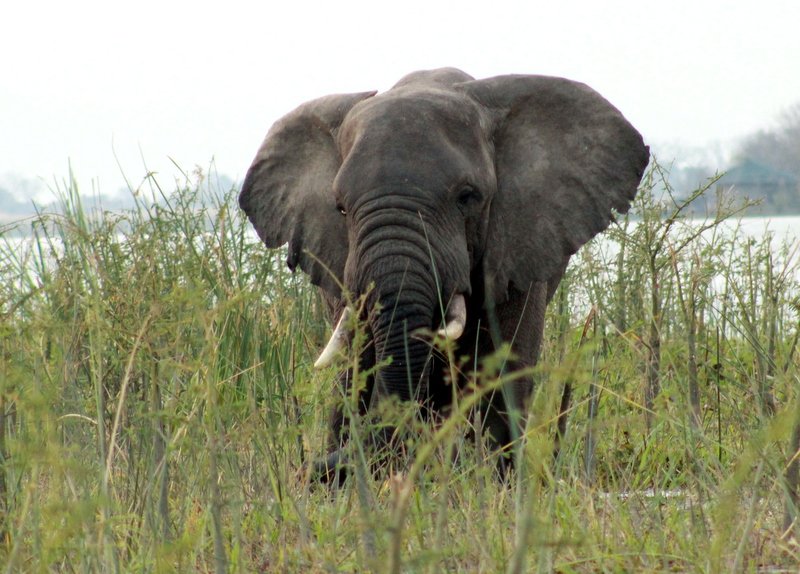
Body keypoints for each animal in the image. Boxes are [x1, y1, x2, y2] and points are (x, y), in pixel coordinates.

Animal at [239, 68, 649, 479]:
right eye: (340, 208)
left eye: (467, 197)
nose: (313, 470)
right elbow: (358, 363)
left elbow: (503, 368)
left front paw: (490, 483)